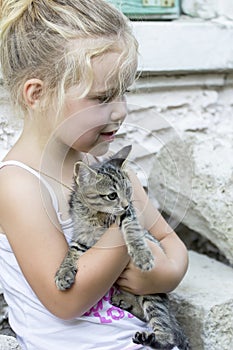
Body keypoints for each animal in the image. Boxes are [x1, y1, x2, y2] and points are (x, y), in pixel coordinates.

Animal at [55, 145, 190, 350]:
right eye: (112, 195)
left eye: (128, 190)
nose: (126, 204)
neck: (95, 215)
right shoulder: (83, 239)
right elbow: (71, 251)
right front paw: (63, 273)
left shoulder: (128, 216)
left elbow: (131, 228)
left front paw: (142, 255)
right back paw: (126, 301)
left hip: (152, 294)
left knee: (167, 335)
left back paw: (151, 337)